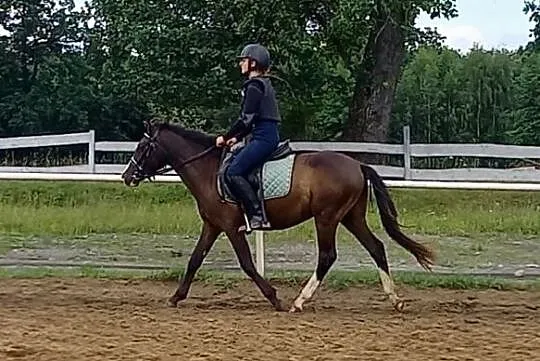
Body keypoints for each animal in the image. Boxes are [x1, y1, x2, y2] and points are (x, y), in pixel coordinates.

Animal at [122, 119, 434, 312]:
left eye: (143, 146)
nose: (127, 176)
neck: (209, 170)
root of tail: (357, 164)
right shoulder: (212, 225)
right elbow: (195, 260)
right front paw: (176, 297)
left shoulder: (230, 227)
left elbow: (248, 264)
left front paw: (274, 298)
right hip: (351, 218)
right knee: (376, 248)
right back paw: (395, 300)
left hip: (327, 218)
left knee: (327, 256)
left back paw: (299, 301)